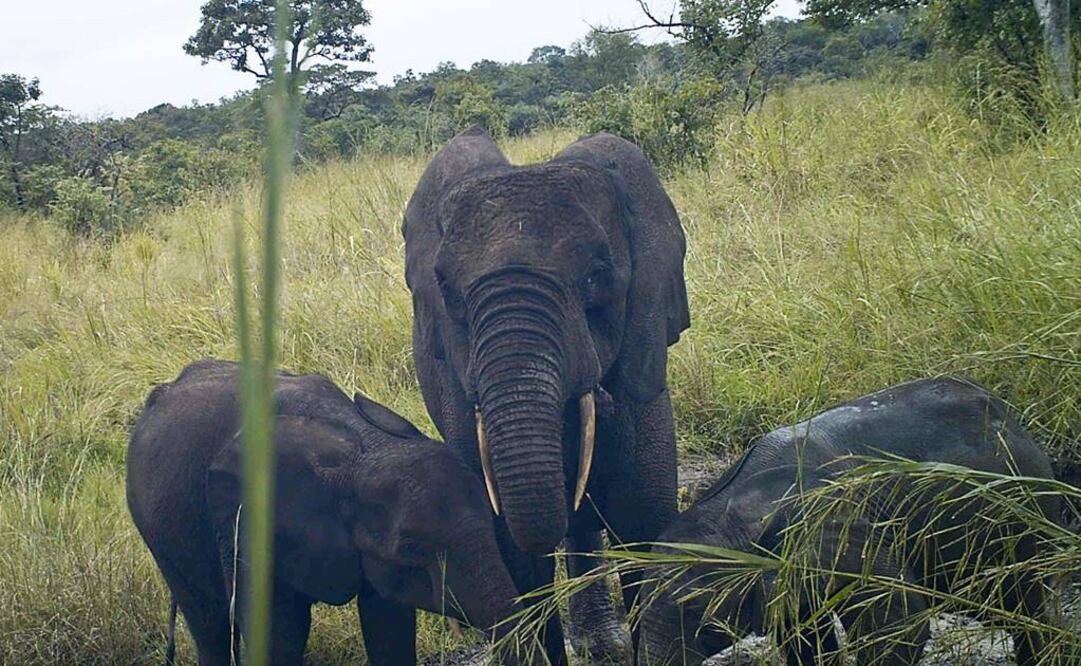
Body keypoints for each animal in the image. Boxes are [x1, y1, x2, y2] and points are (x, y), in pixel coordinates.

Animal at [126, 359, 525, 665]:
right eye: (411, 549)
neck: (364, 446)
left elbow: (389, 626)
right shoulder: (245, 524)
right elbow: (279, 635)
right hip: (160, 530)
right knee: (209, 624)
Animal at [636, 377, 1060, 666]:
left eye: (694, 611)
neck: (735, 501)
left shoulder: (851, 525)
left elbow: (898, 625)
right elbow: (803, 635)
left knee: (1022, 606)